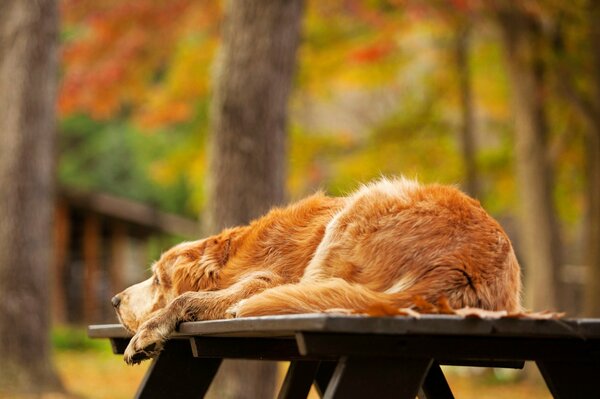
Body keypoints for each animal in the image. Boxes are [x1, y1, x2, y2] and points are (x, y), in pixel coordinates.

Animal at [111, 178, 520, 366]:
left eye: (158, 279)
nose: (114, 300)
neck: (232, 258)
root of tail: (462, 266)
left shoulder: (269, 277)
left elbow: (186, 298)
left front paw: (149, 333)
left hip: (367, 199)